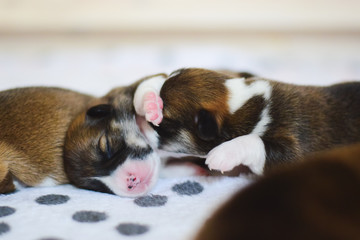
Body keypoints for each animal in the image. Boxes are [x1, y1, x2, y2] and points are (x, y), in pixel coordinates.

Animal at [134, 67, 360, 174]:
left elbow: (256, 141)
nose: (139, 121)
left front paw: (222, 154)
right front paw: (149, 100)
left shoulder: (294, 151)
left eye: (162, 125)